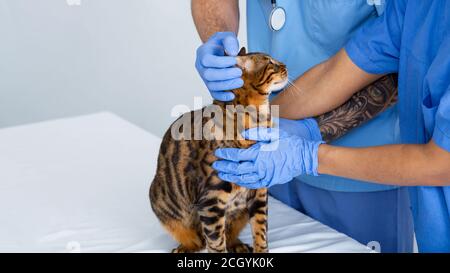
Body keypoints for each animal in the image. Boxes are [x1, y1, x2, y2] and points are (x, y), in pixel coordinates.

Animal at [149, 47, 286, 253]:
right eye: (271, 63)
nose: (285, 65)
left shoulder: (259, 191)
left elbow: (261, 231)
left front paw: (261, 251)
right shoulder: (211, 200)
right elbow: (215, 242)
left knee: (228, 233)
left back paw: (238, 245)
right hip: (165, 206)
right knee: (196, 239)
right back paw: (183, 248)